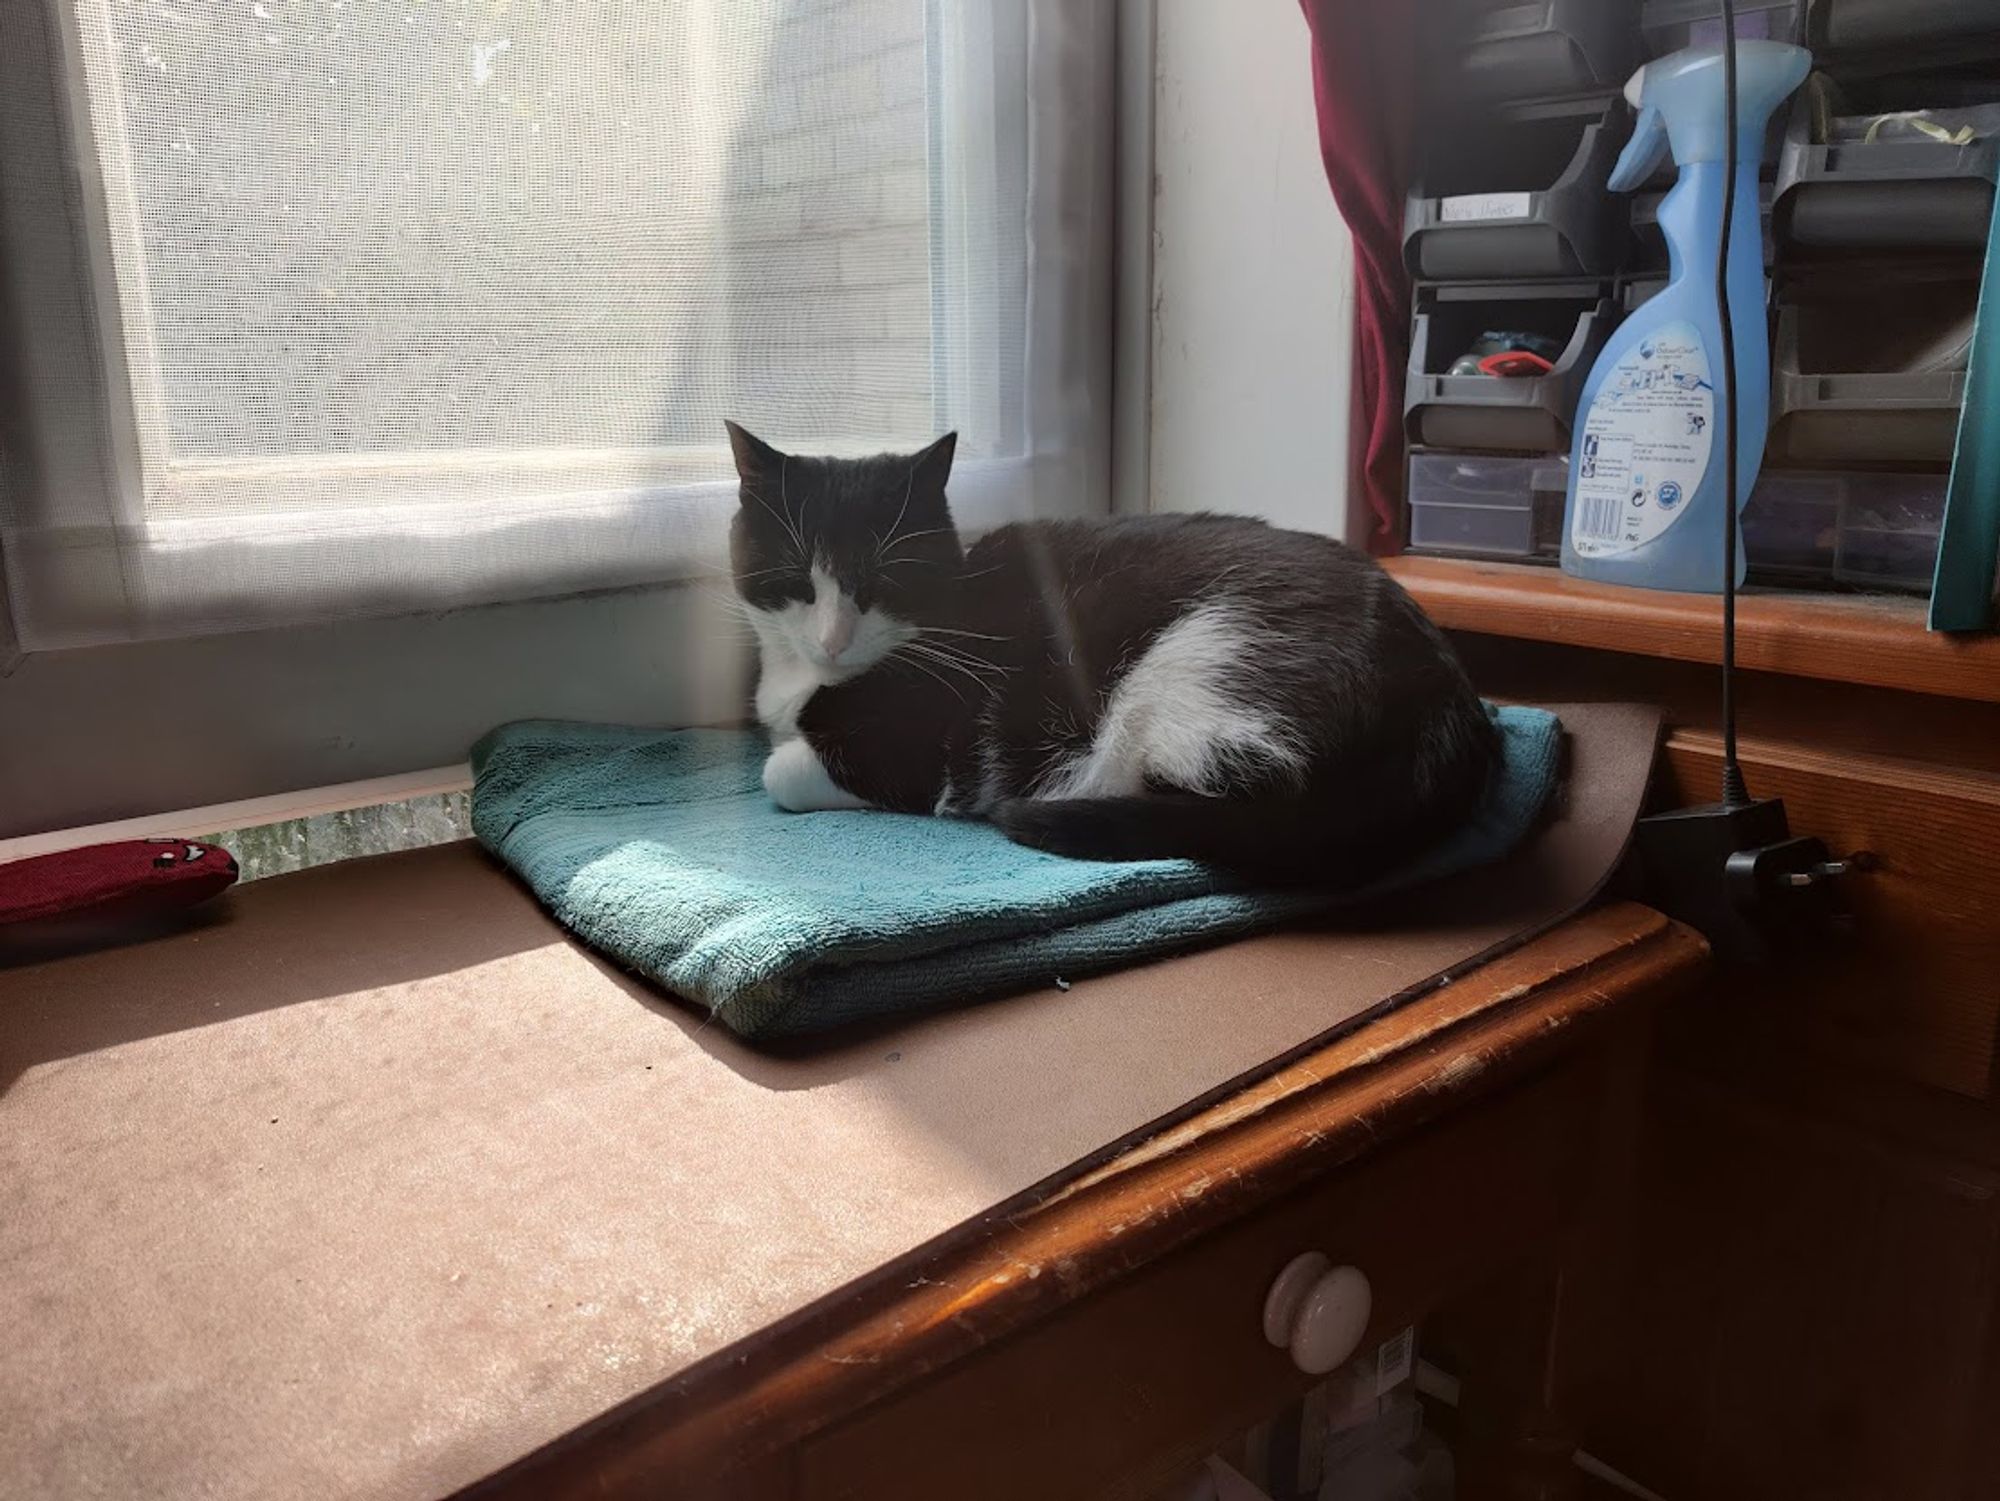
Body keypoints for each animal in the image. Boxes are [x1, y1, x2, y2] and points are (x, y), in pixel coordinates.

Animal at [728, 418, 1496, 888]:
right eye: (797, 579)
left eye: (884, 582)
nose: (833, 639)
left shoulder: (913, 749)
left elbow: (780, 772)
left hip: (1203, 665)